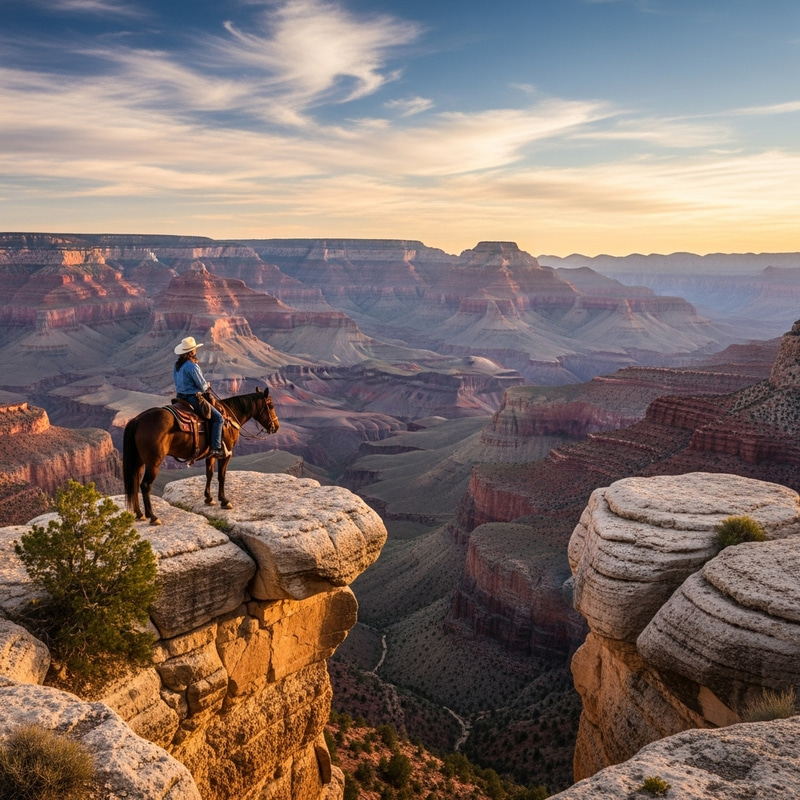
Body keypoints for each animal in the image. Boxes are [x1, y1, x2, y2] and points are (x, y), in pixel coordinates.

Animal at [123, 387, 279, 525]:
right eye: (271, 405)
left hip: (139, 461)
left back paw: (139, 514)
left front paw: (209, 498)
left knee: (135, 483)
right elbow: (221, 476)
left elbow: (209, 474)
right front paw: (224, 500)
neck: (229, 417)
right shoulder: (226, 454)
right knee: (145, 485)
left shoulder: (210, 455)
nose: (276, 427)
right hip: (153, 463)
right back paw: (153, 517)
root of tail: (138, 420)